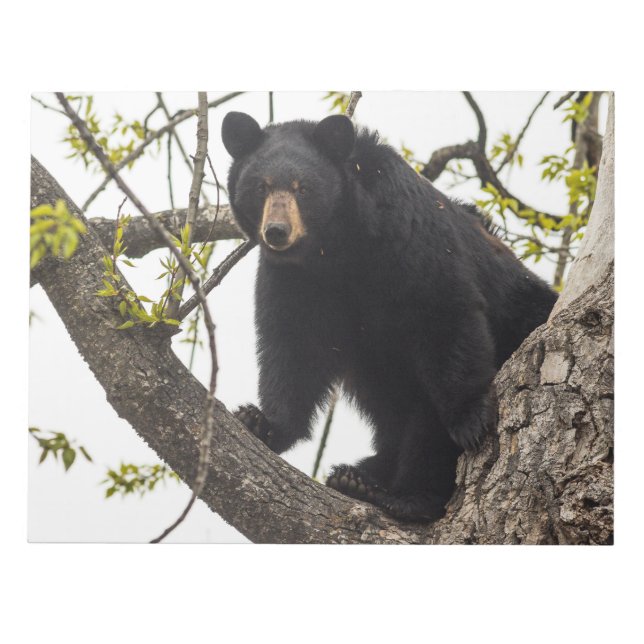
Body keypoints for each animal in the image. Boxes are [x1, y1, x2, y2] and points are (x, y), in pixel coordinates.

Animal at [221, 110, 557, 522]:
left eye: (303, 188)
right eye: (261, 187)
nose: (277, 232)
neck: (337, 249)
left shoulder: (408, 236)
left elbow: (443, 312)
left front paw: (471, 419)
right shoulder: (294, 280)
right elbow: (293, 346)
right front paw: (262, 422)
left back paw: (403, 495)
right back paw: (357, 476)